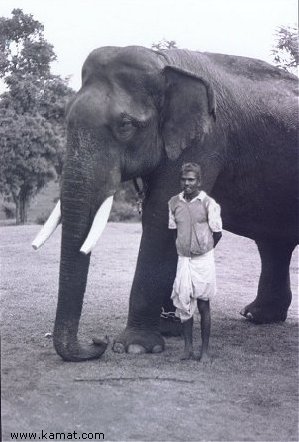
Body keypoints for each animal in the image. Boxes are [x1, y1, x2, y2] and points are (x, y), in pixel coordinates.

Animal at [31, 45, 298, 362]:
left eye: (126, 125)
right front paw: (168, 329)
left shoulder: (205, 143)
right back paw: (256, 316)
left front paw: (134, 346)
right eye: (66, 120)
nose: (98, 341)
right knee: (273, 244)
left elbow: (161, 222)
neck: (164, 61)